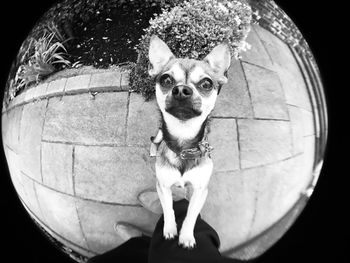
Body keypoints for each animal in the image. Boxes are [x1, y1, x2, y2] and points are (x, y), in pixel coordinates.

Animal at [148, 35, 232, 250]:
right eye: (166, 80)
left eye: (206, 84)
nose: (181, 90)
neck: (182, 145)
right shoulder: (162, 186)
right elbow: (168, 208)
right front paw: (169, 230)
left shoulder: (201, 190)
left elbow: (191, 215)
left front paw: (186, 237)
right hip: (158, 135)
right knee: (156, 140)